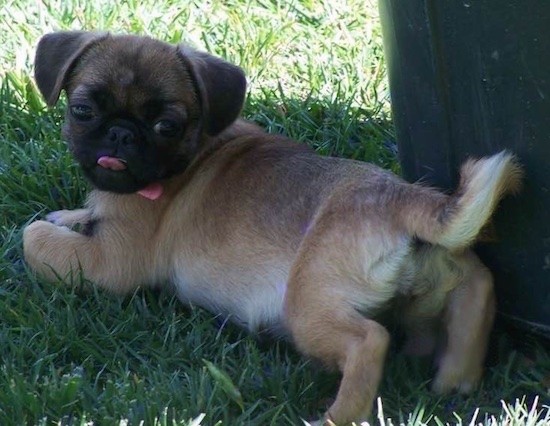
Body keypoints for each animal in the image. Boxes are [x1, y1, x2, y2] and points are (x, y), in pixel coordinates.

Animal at [23, 30, 524, 426]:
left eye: (166, 125)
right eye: (83, 111)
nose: (121, 133)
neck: (197, 150)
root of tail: (401, 198)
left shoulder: (110, 262)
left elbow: (32, 239)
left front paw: (41, 231)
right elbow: (75, 217)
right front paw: (69, 216)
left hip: (307, 306)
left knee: (369, 342)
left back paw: (337, 418)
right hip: (436, 278)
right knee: (476, 284)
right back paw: (456, 378)